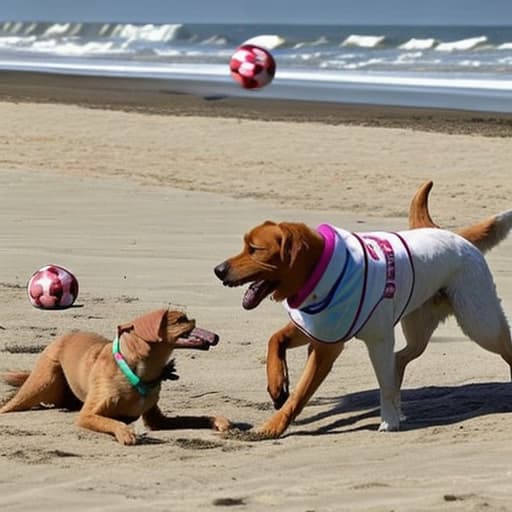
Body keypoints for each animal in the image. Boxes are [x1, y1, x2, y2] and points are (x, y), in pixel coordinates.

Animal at [0, 308, 231, 444]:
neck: (138, 370)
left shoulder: (158, 421)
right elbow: (113, 422)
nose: (195, 319)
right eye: (181, 320)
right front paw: (125, 432)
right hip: (41, 384)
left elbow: (194, 418)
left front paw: (218, 420)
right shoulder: (87, 416)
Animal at [214, 182, 512, 438]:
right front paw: (277, 386)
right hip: (419, 327)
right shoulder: (316, 330)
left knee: (502, 346)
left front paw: (273, 425)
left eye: (255, 249)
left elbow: (301, 394)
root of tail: (451, 234)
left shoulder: (337, 346)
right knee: (400, 358)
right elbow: (275, 340)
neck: (317, 272)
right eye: (244, 245)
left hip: (480, 323)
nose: (218, 270)